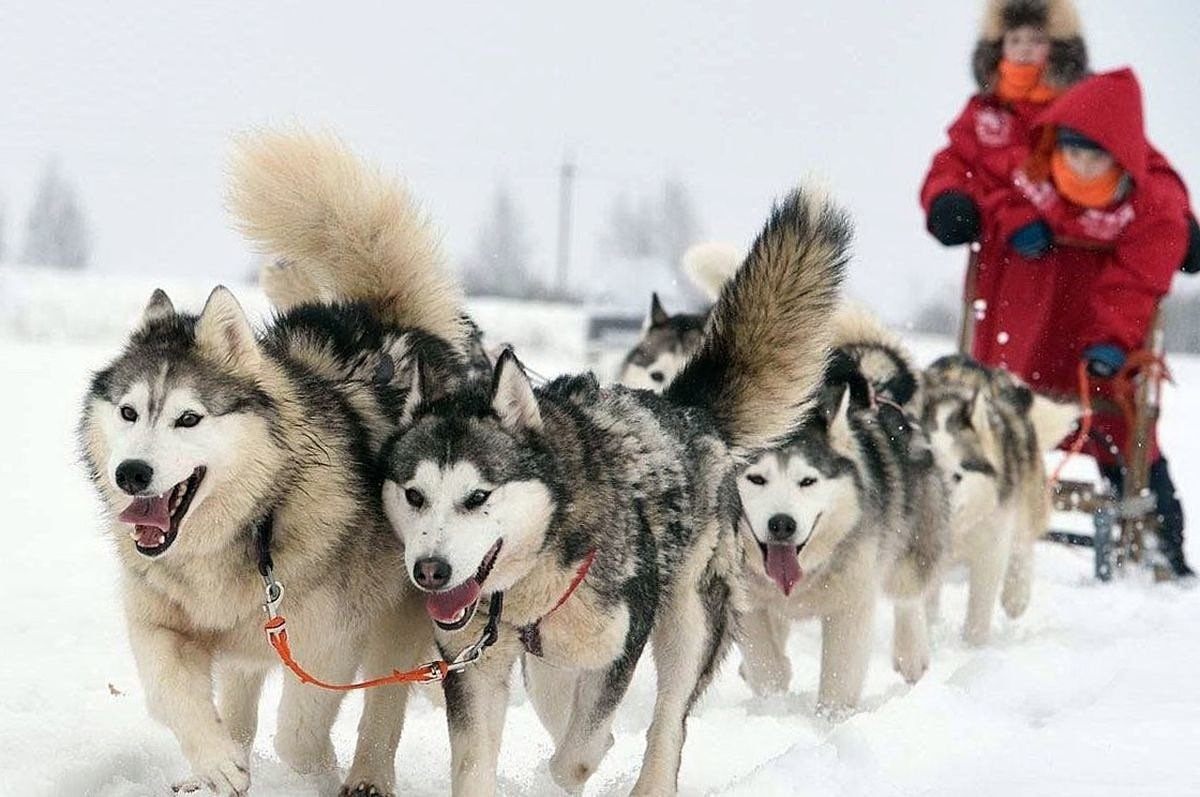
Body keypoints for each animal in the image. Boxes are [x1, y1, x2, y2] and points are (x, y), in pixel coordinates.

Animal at [77, 129, 470, 792]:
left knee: (382, 705)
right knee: (240, 690)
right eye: (129, 412)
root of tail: (386, 319)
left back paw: (367, 775)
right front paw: (218, 763)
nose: (131, 474)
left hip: (400, 614)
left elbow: (300, 733)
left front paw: (315, 773)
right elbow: (171, 694)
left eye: (189, 419)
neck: (252, 522)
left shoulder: (328, 641)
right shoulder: (159, 623)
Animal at [734, 307, 950, 710]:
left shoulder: (852, 603)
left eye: (807, 481)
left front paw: (830, 719)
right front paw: (773, 694)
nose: (782, 524)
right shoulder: (743, 598)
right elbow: (763, 659)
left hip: (914, 535)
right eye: (756, 479)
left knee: (908, 592)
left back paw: (911, 652)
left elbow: (840, 677)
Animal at [916, 357, 1080, 643]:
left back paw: (1016, 596)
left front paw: (973, 647)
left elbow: (979, 614)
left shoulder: (990, 549)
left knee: (1023, 546)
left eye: (957, 475)